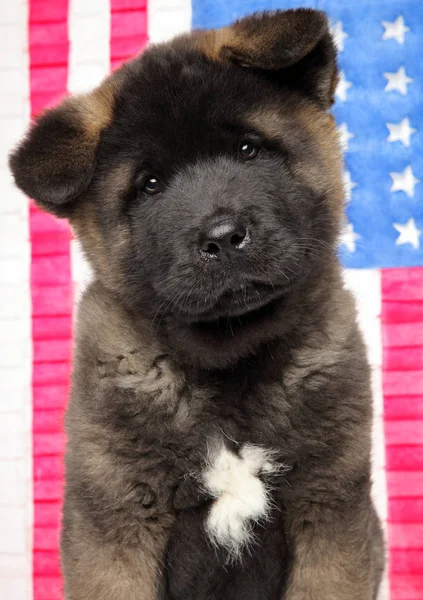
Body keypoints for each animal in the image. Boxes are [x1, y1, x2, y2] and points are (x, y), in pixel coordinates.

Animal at [11, 9, 386, 600]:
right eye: (150, 184)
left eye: (248, 150)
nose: (223, 236)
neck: (228, 355)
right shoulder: (117, 521)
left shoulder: (330, 510)